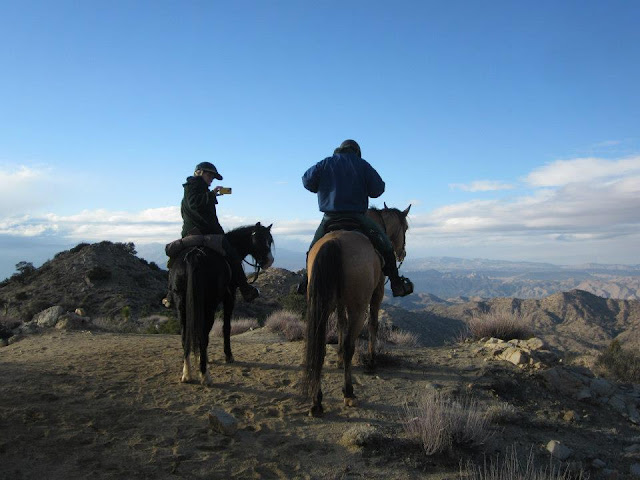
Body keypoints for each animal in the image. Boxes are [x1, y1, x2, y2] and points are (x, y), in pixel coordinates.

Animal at [168, 222, 274, 386]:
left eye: (270, 240)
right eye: (260, 239)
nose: (270, 261)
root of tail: (193, 256)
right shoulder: (229, 297)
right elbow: (226, 327)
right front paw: (228, 356)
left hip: (182, 305)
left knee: (186, 335)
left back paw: (187, 373)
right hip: (209, 306)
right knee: (203, 334)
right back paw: (204, 375)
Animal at [302, 204, 411, 417]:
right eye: (406, 227)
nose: (402, 253)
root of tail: (334, 242)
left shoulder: (340, 302)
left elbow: (341, 324)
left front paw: (338, 359)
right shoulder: (377, 293)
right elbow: (374, 325)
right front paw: (371, 362)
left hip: (322, 304)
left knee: (319, 344)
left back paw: (316, 401)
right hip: (358, 308)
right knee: (350, 345)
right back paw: (349, 392)